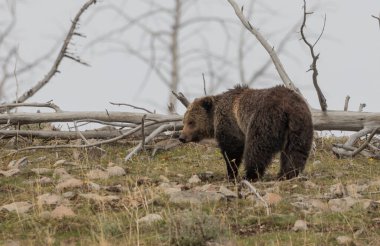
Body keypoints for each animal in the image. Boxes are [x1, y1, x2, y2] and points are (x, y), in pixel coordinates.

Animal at [180, 84, 314, 181]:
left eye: (191, 122)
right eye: (184, 121)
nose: (181, 137)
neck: (214, 117)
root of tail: (288, 108)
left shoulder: (230, 124)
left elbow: (232, 150)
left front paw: (231, 173)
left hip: (264, 120)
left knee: (256, 149)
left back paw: (250, 175)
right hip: (300, 126)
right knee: (295, 151)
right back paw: (287, 174)